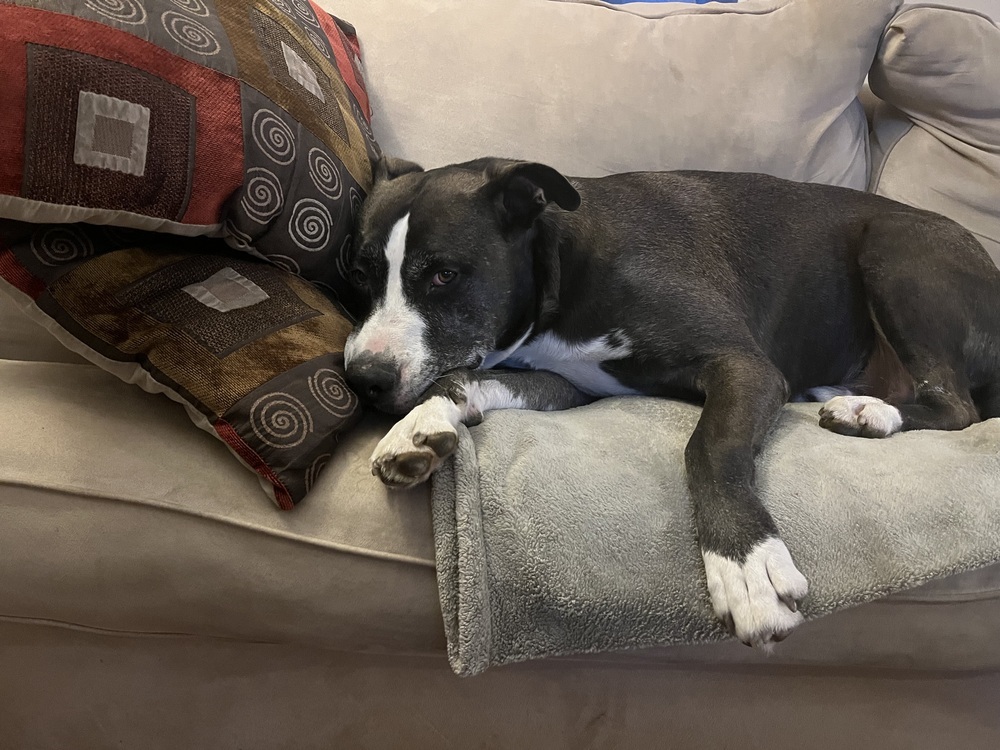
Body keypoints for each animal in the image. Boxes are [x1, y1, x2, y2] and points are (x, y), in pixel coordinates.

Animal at [344, 156, 1000, 648]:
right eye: (362, 274)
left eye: (444, 275)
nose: (361, 377)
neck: (565, 265)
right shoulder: (563, 382)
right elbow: (458, 379)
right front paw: (419, 426)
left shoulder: (745, 366)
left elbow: (708, 447)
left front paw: (747, 565)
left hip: (896, 249)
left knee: (956, 406)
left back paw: (868, 411)